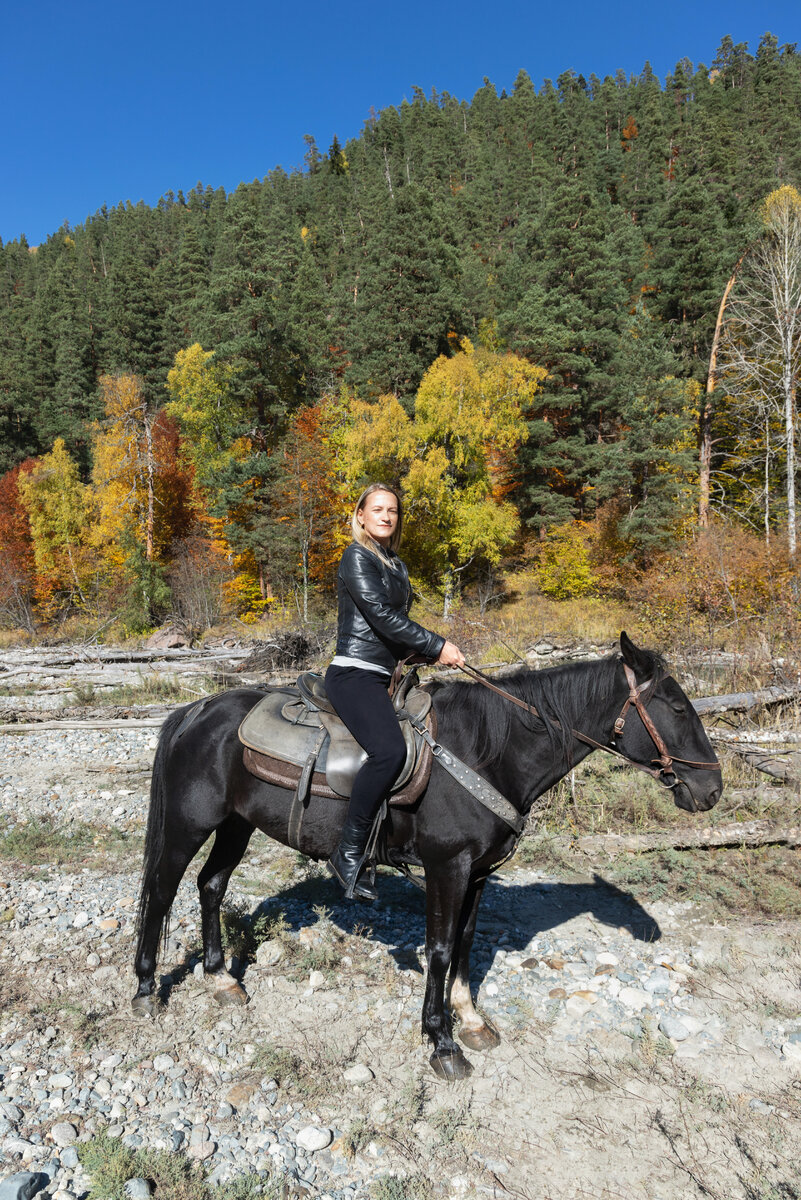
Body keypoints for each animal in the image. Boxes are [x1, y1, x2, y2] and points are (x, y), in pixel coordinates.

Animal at [131, 633, 719, 1084]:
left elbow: (464, 945)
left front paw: (471, 1021)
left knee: (211, 885)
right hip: (189, 824)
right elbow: (437, 949)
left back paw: (220, 979)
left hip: (236, 824)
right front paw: (442, 1042)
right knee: (161, 892)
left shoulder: (477, 873)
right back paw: (145, 989)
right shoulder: (447, 867)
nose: (711, 790)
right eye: (678, 707)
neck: (489, 753)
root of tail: (196, 711)